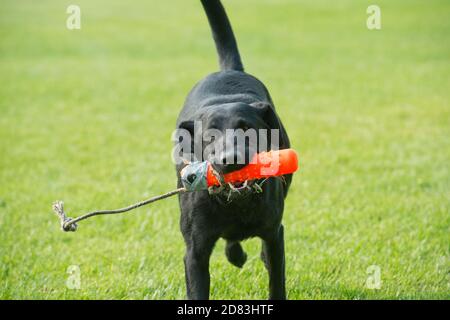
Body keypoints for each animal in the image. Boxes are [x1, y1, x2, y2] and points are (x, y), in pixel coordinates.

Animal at [174, 0, 294, 300]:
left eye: (247, 128)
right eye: (209, 135)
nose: (231, 159)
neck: (236, 203)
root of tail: (230, 70)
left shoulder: (274, 234)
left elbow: (277, 280)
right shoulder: (195, 251)